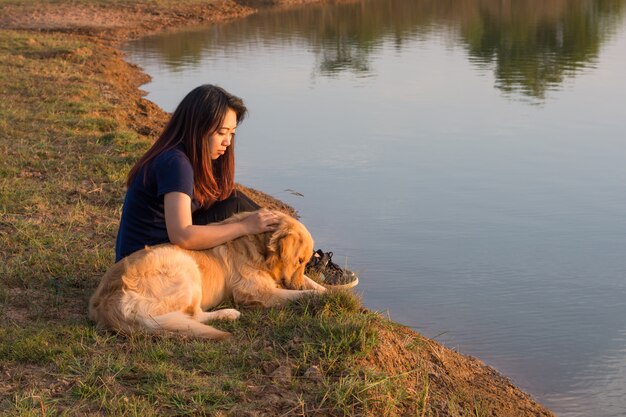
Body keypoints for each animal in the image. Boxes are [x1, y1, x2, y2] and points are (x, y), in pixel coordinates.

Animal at [90, 210, 324, 340]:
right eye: (299, 261)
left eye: (305, 263)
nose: (296, 283)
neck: (258, 246)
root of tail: (107, 302)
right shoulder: (256, 292)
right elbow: (298, 296)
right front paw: (316, 295)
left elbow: (312, 284)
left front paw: (326, 289)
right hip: (186, 268)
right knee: (194, 315)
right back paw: (228, 314)